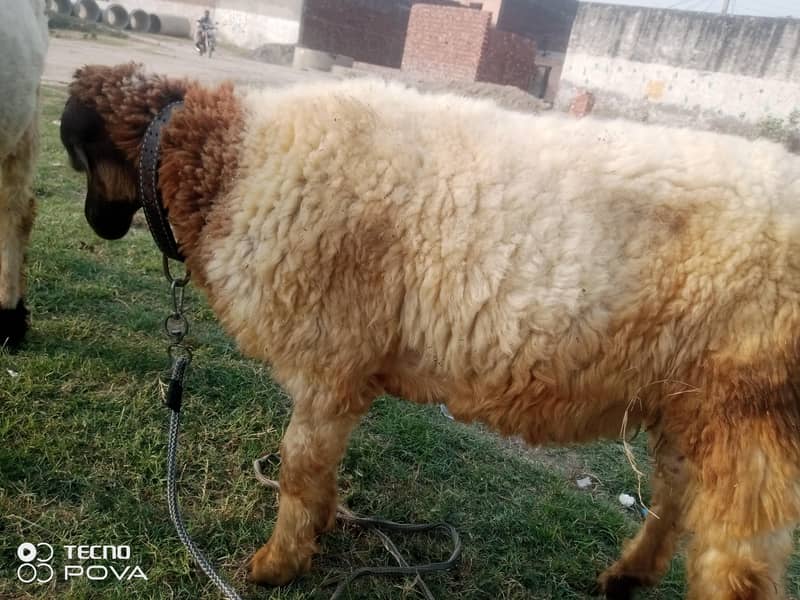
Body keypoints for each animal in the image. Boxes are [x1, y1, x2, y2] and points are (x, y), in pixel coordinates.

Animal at [59, 63, 800, 600]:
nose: (94, 225)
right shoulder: (347, 369)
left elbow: (298, 465)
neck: (230, 168)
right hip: (688, 402)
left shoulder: (328, 357)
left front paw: (276, 564)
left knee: (738, 566)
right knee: (676, 499)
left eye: (77, 157)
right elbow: (319, 466)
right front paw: (322, 526)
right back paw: (626, 576)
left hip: (750, 414)